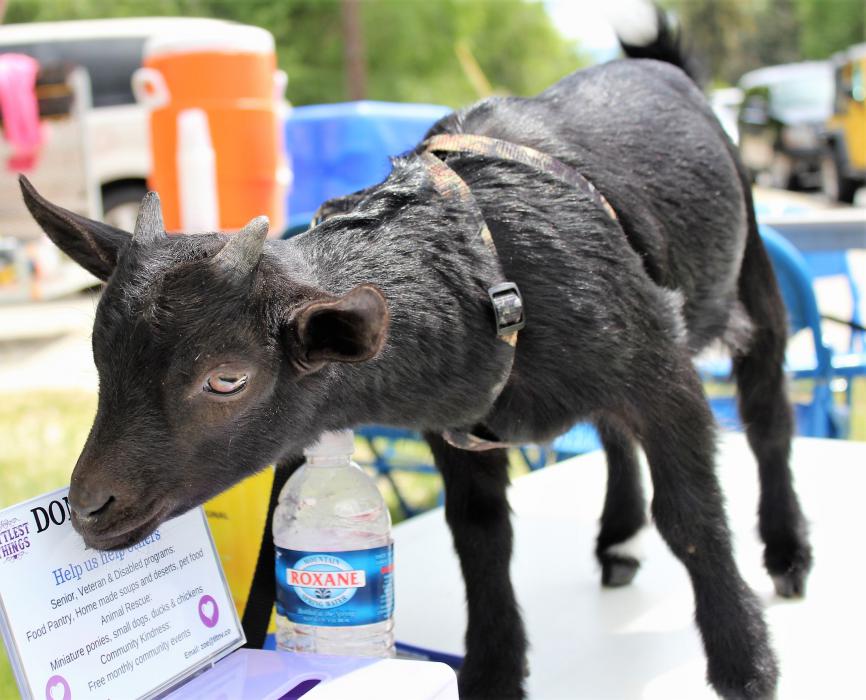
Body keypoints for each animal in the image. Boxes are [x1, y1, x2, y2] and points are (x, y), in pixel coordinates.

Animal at [21, 19, 808, 700]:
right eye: (100, 358)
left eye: (227, 378)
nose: (89, 508)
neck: (484, 271)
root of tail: (662, 64)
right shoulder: (457, 429)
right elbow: (480, 538)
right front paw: (493, 672)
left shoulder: (661, 372)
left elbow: (692, 517)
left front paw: (748, 666)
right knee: (614, 435)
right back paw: (617, 539)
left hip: (751, 271)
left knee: (767, 410)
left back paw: (787, 552)